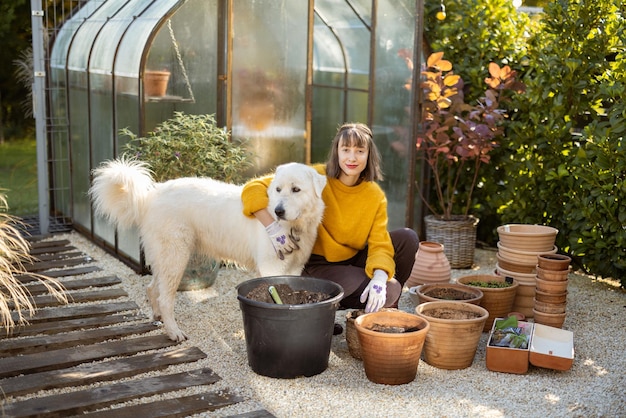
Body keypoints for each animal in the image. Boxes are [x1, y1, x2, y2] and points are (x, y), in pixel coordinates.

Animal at [89, 158, 326, 342]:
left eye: (296, 189)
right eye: (278, 189)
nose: (278, 211)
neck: (293, 227)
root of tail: (151, 195)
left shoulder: (294, 269)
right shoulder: (271, 268)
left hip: (165, 258)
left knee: (152, 288)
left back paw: (158, 317)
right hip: (176, 256)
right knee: (165, 298)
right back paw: (174, 332)